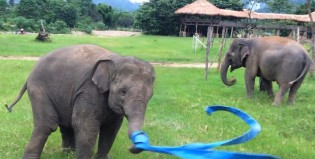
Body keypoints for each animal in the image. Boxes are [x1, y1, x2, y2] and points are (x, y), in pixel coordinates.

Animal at [5, 44, 156, 158]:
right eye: (123, 91)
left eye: (150, 96)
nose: (135, 144)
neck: (117, 59)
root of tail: (30, 73)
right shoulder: (89, 89)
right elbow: (86, 127)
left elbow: (111, 129)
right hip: (38, 88)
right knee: (47, 124)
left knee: (66, 124)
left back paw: (68, 154)